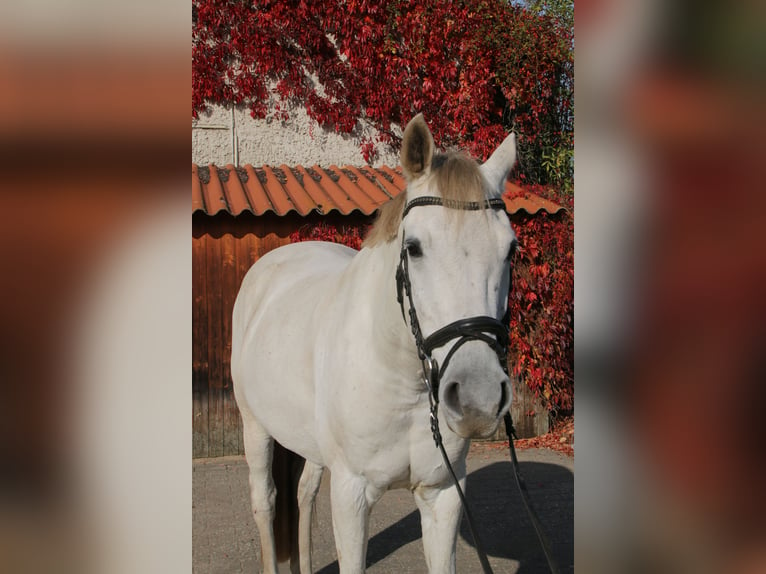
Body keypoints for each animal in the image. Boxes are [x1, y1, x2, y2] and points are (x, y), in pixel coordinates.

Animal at [232, 115, 520, 572]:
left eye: (511, 249)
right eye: (413, 248)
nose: (478, 398)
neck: (404, 384)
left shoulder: (443, 495)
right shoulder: (351, 496)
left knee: (304, 494)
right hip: (255, 427)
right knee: (266, 502)